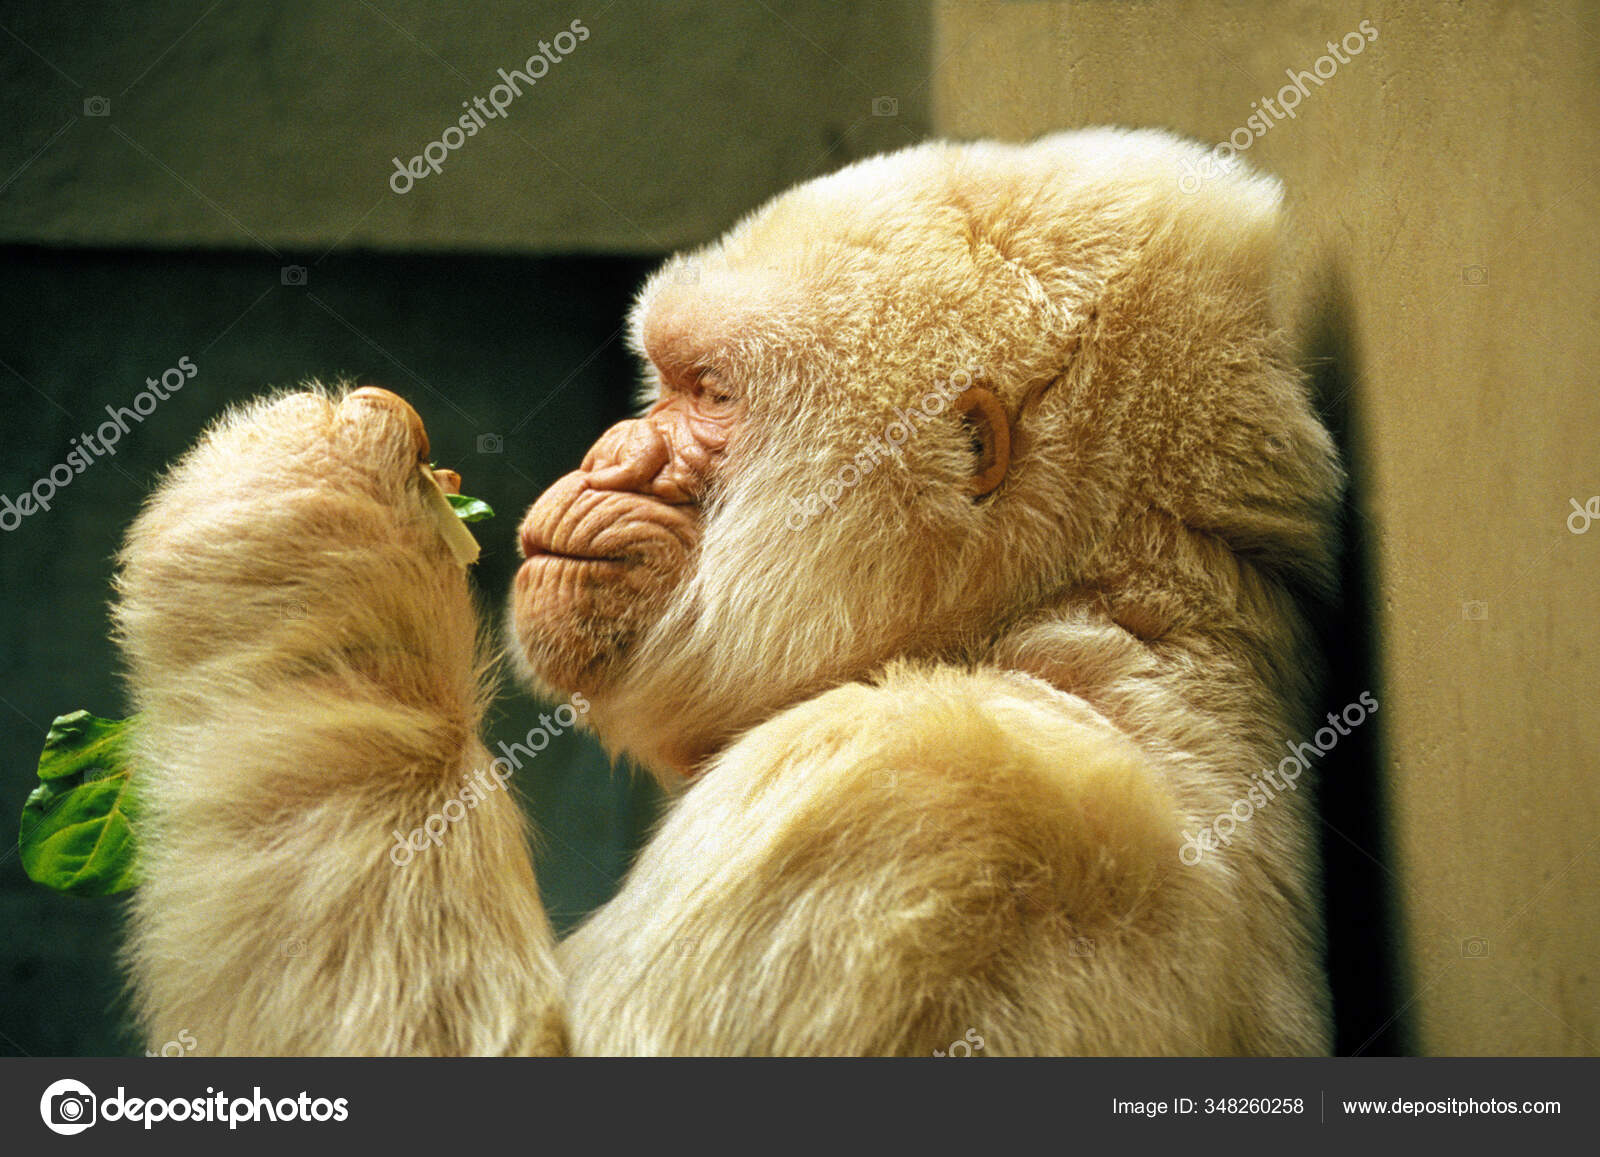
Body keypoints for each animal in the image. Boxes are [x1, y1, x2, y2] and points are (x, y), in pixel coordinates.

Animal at [113, 128, 1342, 1055]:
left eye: (708, 391)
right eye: (662, 379)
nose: (606, 454)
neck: (1041, 614)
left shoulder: (913, 792)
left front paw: (306, 514)